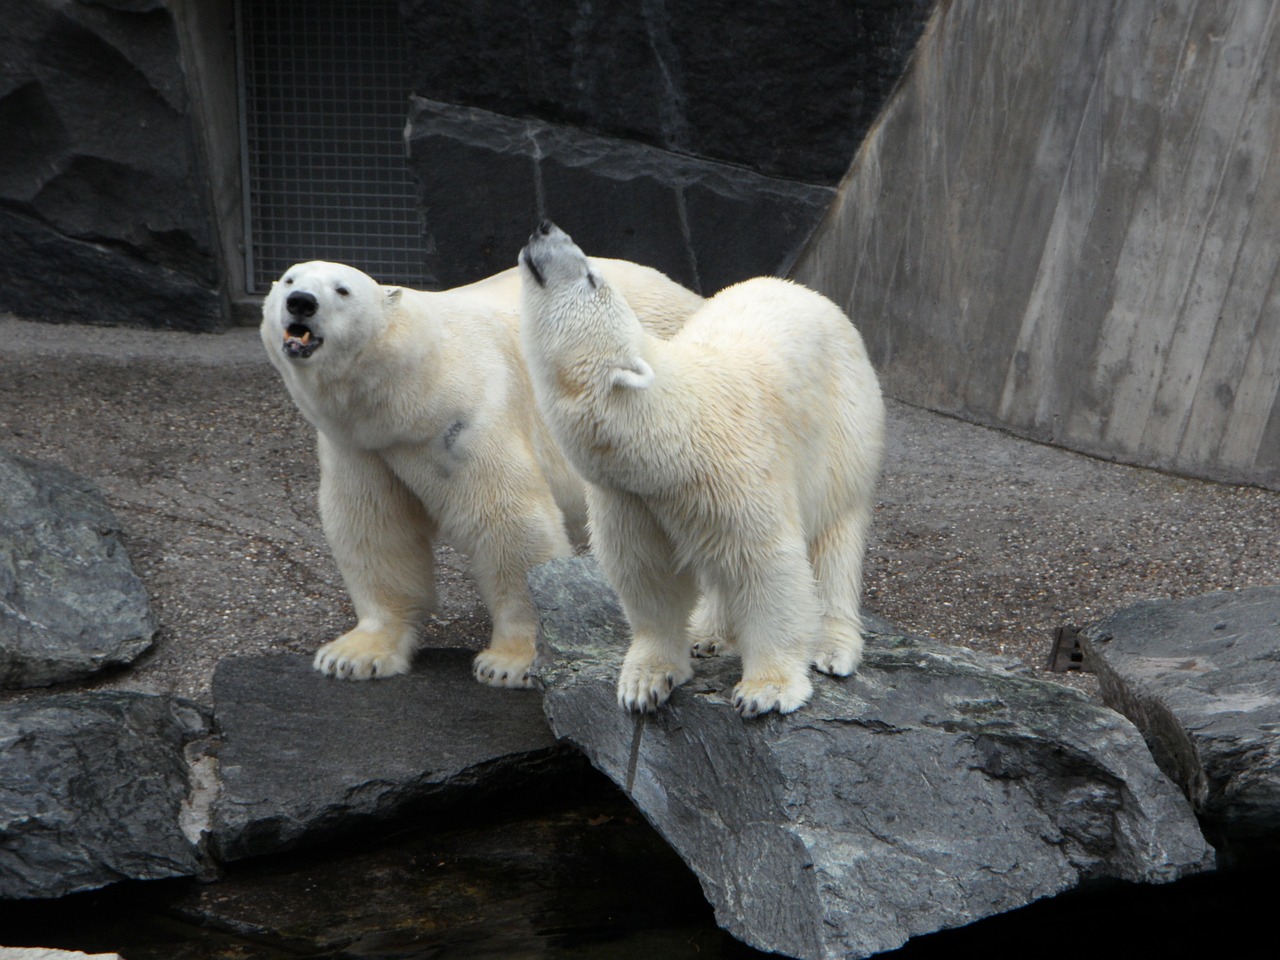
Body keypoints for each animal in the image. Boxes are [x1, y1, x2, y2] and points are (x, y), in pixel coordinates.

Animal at [258, 257, 701, 691]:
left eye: (342, 289)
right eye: (290, 279)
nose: (300, 302)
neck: (411, 387)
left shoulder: (466, 416)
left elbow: (507, 524)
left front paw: (509, 663)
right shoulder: (361, 447)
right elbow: (375, 528)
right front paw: (352, 654)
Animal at [514, 217, 885, 716]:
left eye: (592, 277)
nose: (544, 226)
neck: (668, 434)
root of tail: (809, 292)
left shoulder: (736, 472)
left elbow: (768, 567)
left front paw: (765, 690)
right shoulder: (630, 498)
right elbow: (646, 574)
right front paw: (646, 681)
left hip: (843, 428)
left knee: (835, 536)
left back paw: (832, 647)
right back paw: (708, 633)